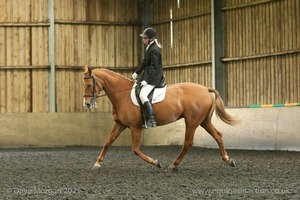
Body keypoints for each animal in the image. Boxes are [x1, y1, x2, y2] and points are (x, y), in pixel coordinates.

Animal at [83, 64, 238, 170]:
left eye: (89, 85)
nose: (87, 104)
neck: (123, 95)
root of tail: (205, 89)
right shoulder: (120, 124)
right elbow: (108, 142)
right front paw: (97, 163)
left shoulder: (135, 127)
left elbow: (136, 149)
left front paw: (156, 162)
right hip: (203, 121)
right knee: (218, 135)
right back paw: (228, 160)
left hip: (192, 122)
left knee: (188, 143)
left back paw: (173, 165)